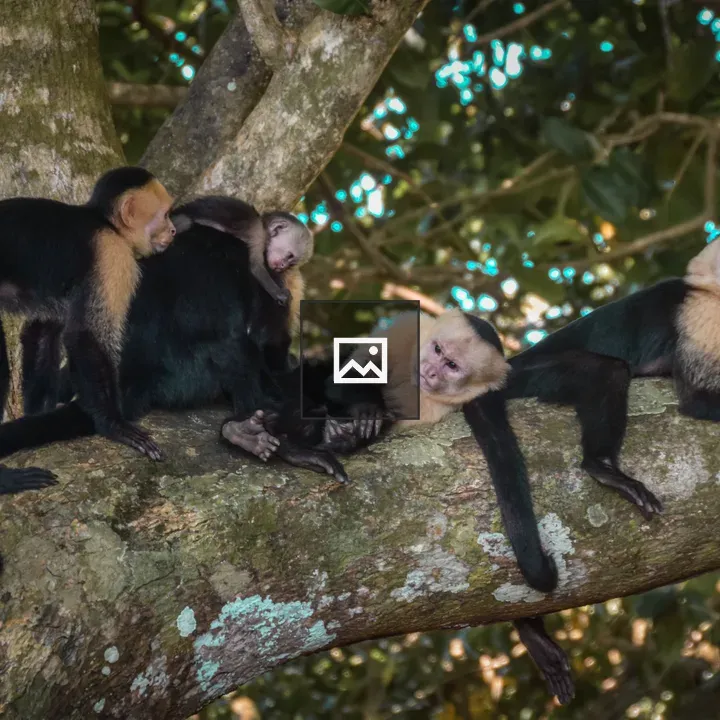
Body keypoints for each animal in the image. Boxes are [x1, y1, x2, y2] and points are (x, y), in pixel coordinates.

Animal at [0, 166, 175, 473]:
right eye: (165, 215)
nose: (174, 230)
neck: (106, 223)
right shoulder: (113, 256)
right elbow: (86, 335)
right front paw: (114, 424)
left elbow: (44, 330)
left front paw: (38, 416)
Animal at [172, 196, 313, 309]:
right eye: (289, 256)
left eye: (291, 263)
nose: (282, 266)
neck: (264, 228)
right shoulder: (257, 235)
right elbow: (256, 268)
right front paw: (280, 294)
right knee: (185, 222)